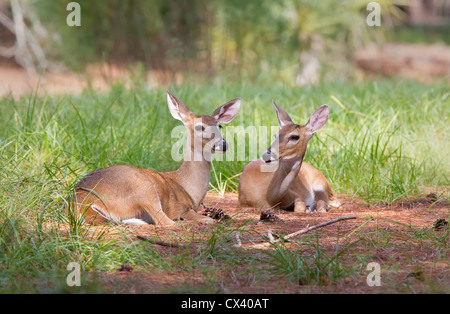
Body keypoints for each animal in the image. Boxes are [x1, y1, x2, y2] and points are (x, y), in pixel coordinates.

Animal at [74, 91, 243, 226]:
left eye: (220, 126)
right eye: (199, 127)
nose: (223, 144)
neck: (188, 188)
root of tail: (82, 204)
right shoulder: (177, 207)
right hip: (143, 187)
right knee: (165, 222)